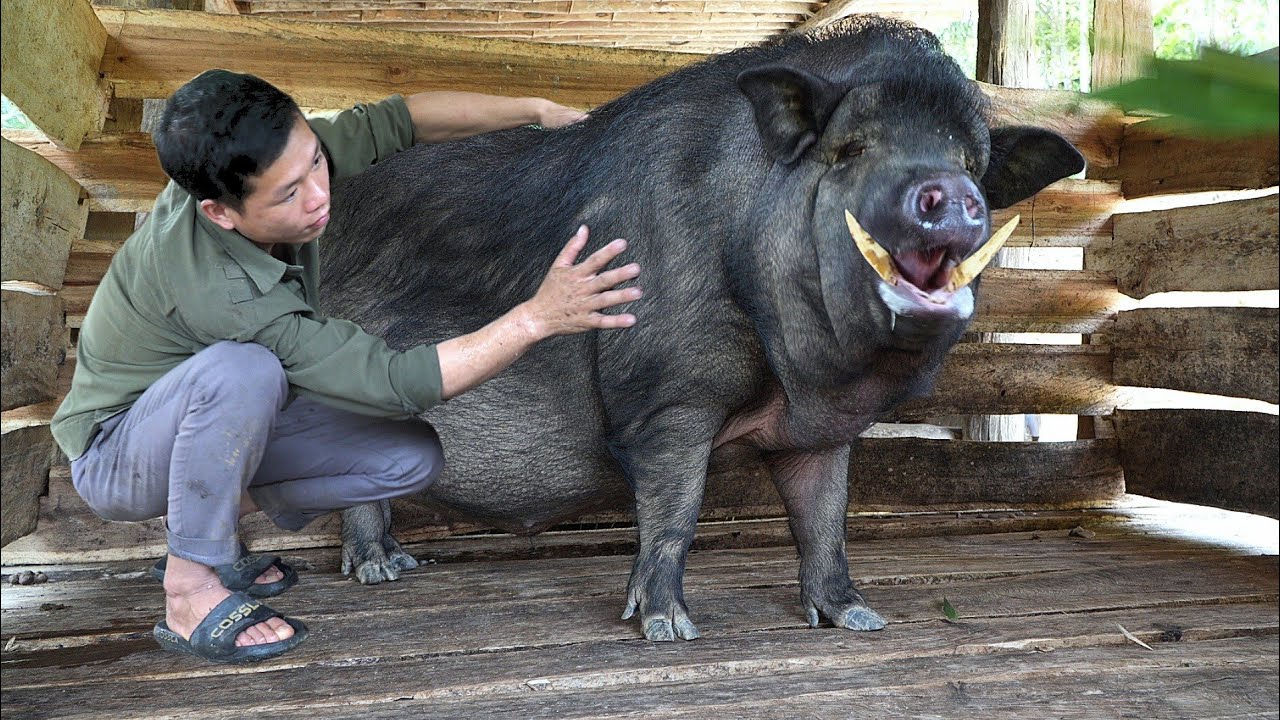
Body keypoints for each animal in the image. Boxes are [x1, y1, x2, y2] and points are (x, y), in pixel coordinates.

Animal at [320, 16, 1086, 641]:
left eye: (971, 164)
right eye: (850, 149)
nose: (949, 191)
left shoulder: (818, 431)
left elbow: (826, 516)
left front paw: (859, 618)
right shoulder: (670, 391)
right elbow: (676, 508)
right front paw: (670, 629)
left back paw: (399, 564)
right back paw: (380, 572)